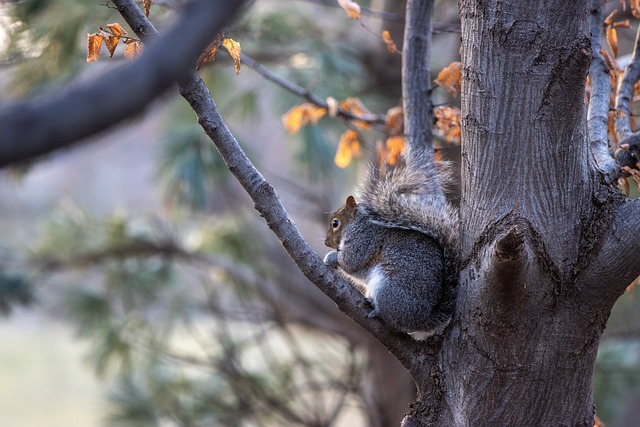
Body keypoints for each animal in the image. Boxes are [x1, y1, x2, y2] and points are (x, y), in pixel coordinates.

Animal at [322, 150, 458, 342]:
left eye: (335, 223)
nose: (326, 242)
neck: (357, 224)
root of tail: (423, 320)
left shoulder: (363, 241)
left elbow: (350, 262)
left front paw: (331, 257)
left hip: (389, 290)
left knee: (393, 320)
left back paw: (376, 308)